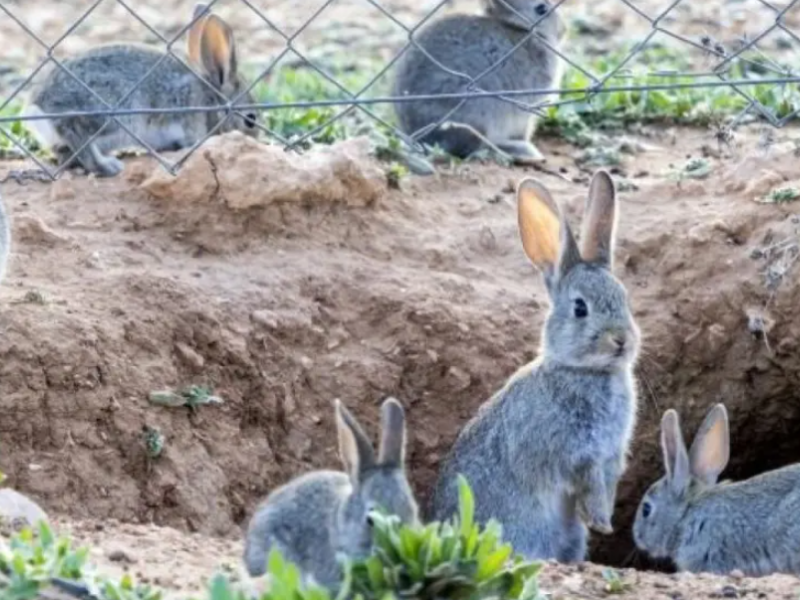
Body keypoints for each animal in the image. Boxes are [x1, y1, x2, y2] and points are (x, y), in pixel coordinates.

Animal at [23, 3, 258, 177]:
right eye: (250, 120)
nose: (256, 139)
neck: (211, 101)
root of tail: (39, 107)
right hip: (116, 112)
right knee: (75, 129)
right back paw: (108, 166)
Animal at [390, 0, 564, 164]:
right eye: (541, 9)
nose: (564, 30)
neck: (523, 29)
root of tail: (422, 138)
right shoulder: (526, 110)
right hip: (477, 117)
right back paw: (522, 151)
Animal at [428, 170, 640, 564]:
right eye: (580, 308)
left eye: (625, 300)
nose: (621, 340)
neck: (587, 372)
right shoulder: (574, 453)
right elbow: (586, 481)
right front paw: (599, 520)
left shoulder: (611, 456)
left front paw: (603, 523)